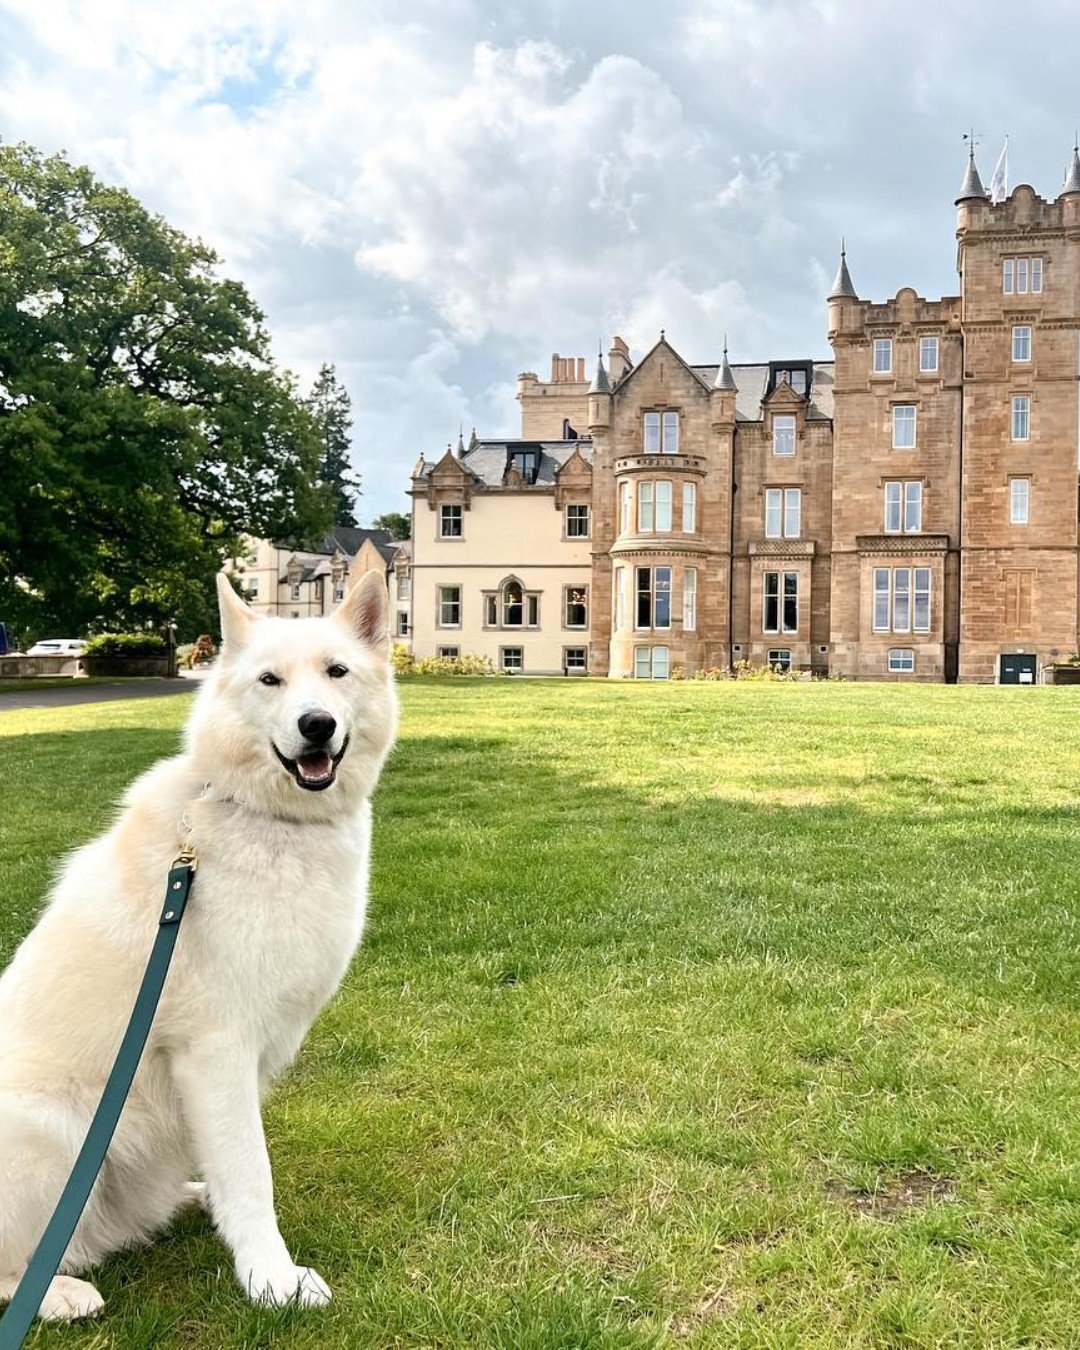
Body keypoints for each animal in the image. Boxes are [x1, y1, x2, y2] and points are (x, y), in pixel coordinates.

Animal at [0, 569, 396, 1317]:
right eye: (270, 680)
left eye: (337, 672)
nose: (317, 725)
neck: (268, 820)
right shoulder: (217, 1051)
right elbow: (251, 1171)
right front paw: (273, 1280)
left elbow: (235, 1164)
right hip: (53, 1130)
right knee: (15, 1269)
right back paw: (61, 1295)